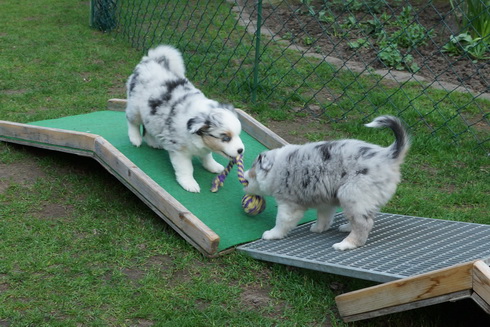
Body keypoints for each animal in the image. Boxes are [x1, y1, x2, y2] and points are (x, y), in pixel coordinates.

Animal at [123, 45, 244, 193]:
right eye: (225, 138)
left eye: (238, 134)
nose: (241, 150)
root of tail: (151, 59)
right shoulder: (179, 151)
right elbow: (186, 168)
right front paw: (189, 184)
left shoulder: (204, 147)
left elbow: (207, 156)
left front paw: (213, 166)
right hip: (135, 108)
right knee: (132, 122)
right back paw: (135, 139)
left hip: (151, 115)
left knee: (149, 127)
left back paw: (153, 142)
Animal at [244, 116, 410, 252]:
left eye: (253, 170)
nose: (244, 178)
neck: (276, 168)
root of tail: (388, 155)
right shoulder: (325, 201)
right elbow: (324, 217)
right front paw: (318, 228)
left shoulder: (289, 204)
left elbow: (282, 221)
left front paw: (272, 234)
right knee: (364, 218)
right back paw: (346, 227)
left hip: (352, 194)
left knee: (364, 224)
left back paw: (346, 244)